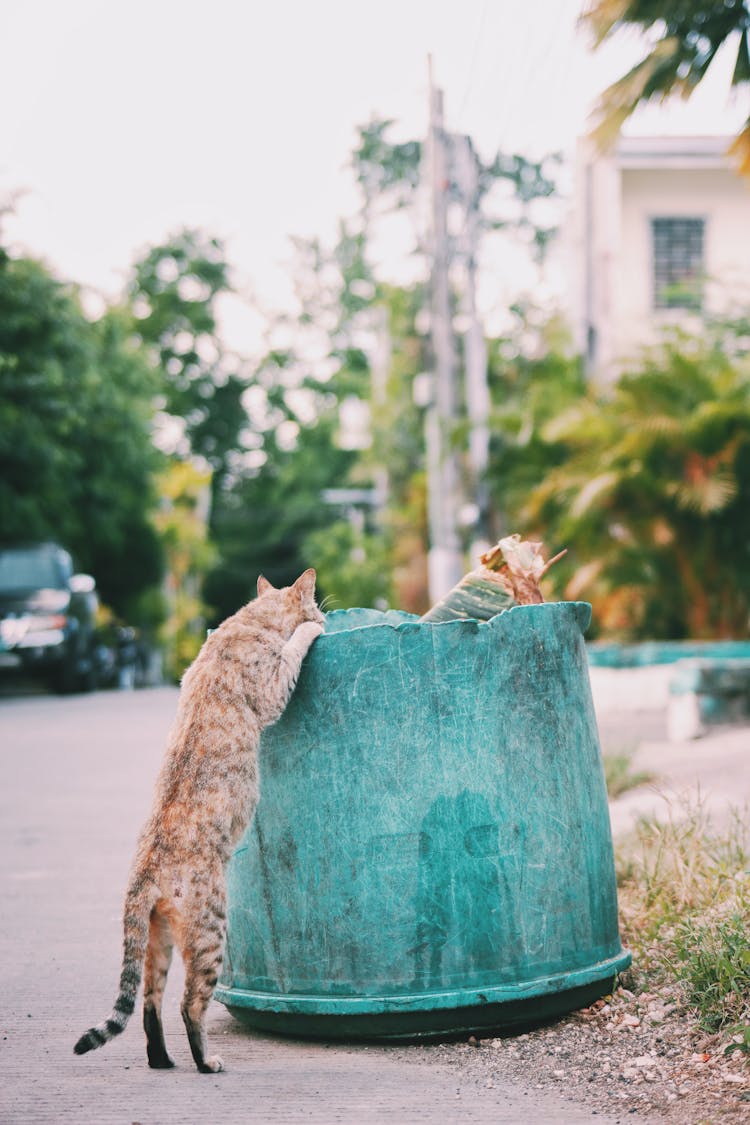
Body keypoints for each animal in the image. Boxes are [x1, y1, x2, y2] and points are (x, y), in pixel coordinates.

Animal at [71, 571, 326, 1071]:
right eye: (319, 609)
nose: (327, 619)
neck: (246, 621)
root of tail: (143, 874)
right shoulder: (273, 687)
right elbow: (293, 648)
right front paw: (309, 630)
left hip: (157, 942)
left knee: (149, 1003)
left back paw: (162, 1061)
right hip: (211, 933)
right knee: (189, 1003)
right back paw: (206, 1062)